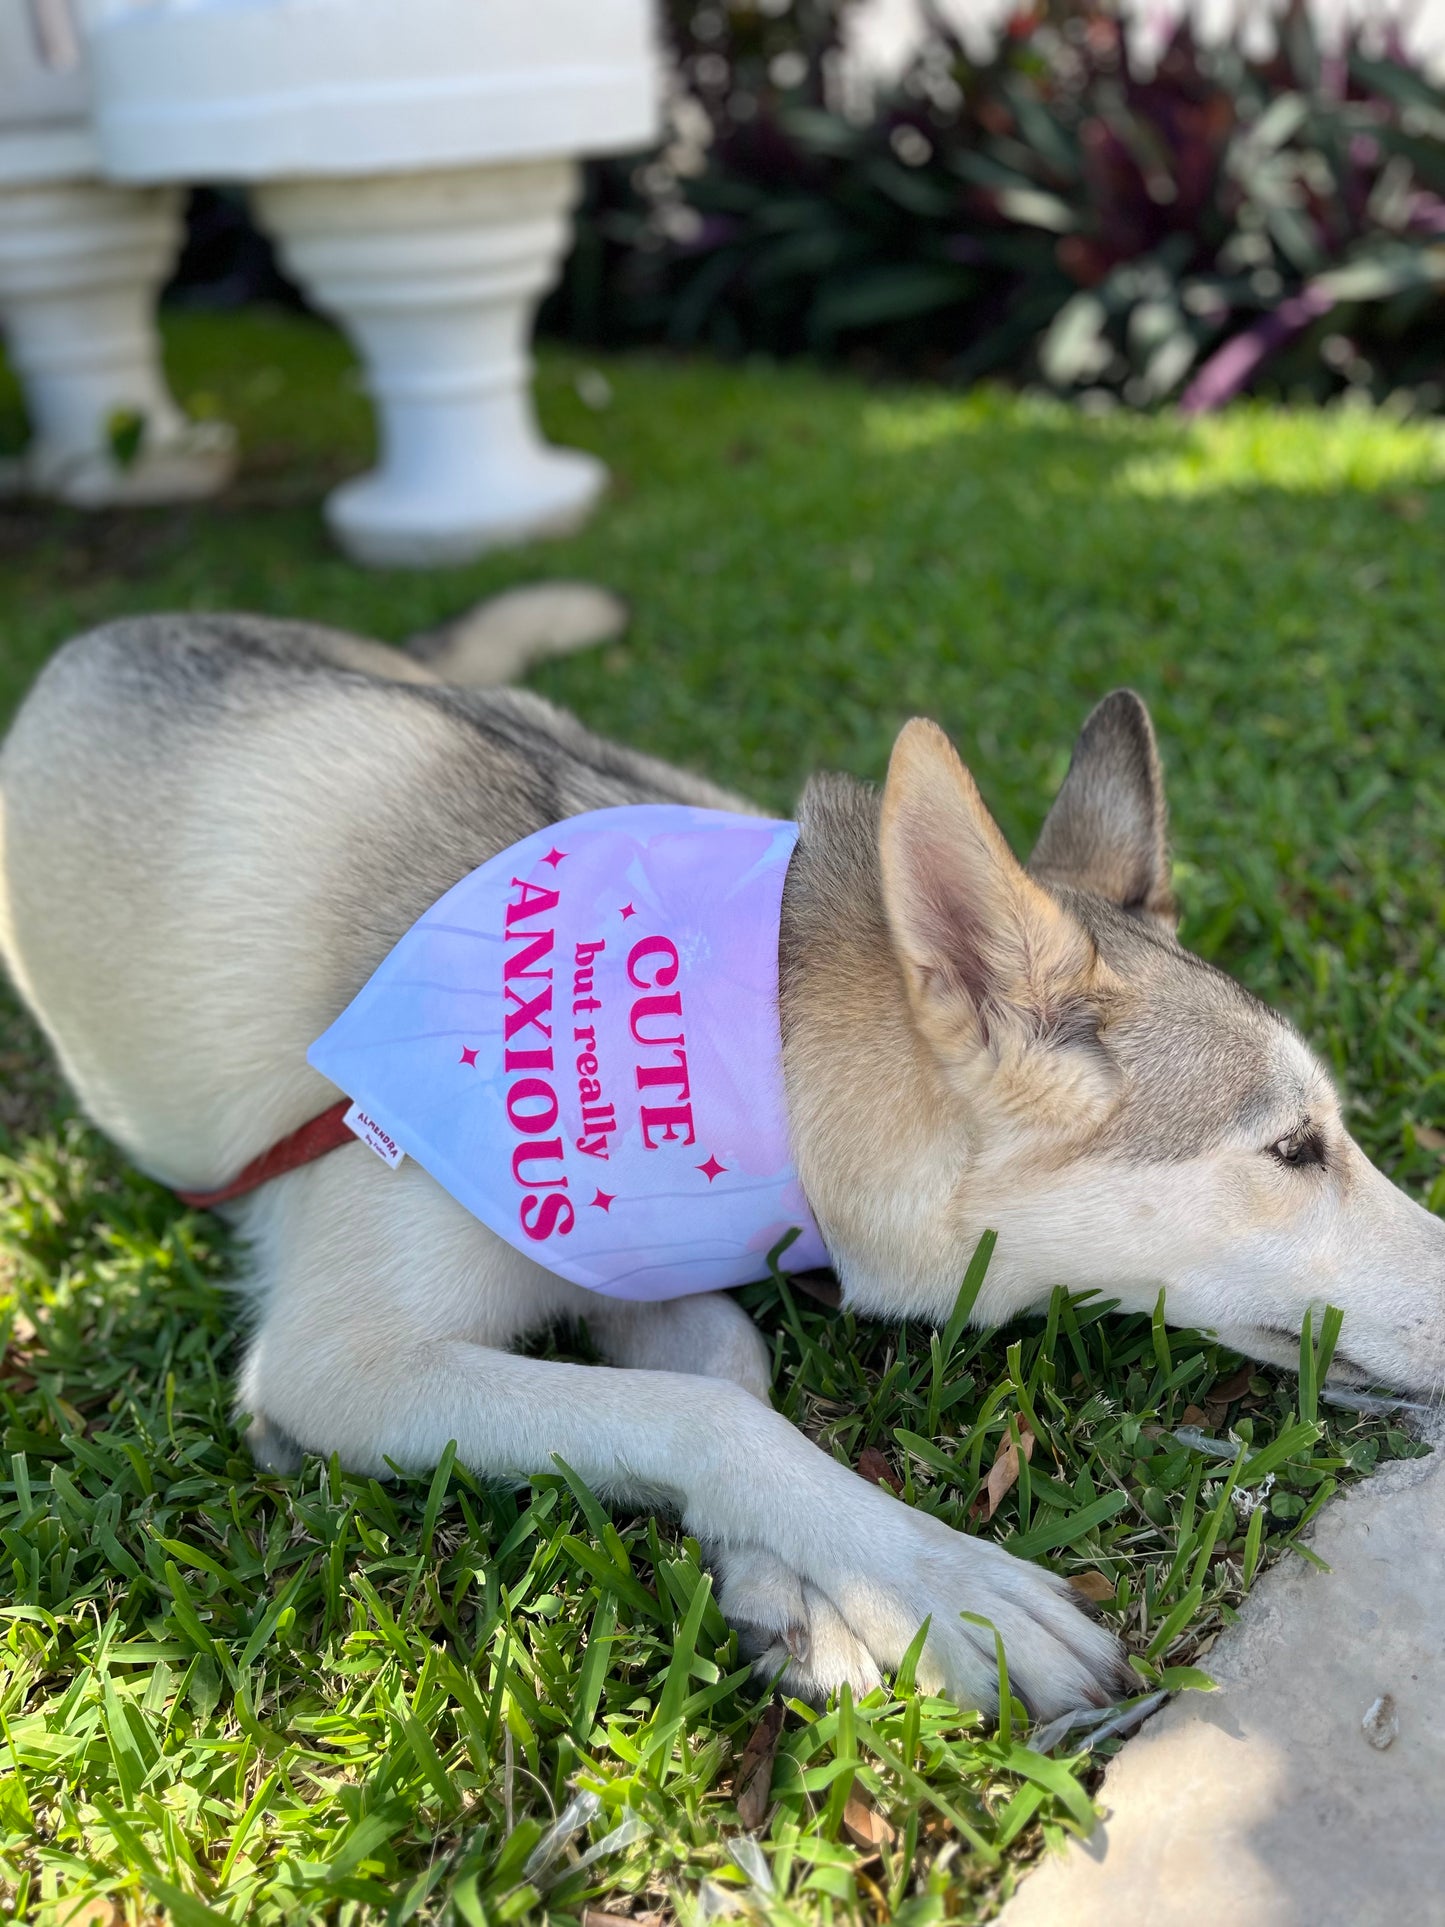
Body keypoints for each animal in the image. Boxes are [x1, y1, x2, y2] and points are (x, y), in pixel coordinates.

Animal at [0, 597, 1441, 1718]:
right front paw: (936, 1581)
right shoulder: (337, 1364)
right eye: (1292, 1147)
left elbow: (725, 1376)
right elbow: (705, 1412)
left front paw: (790, 1588)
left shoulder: (637, 1260)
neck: (738, 1032)